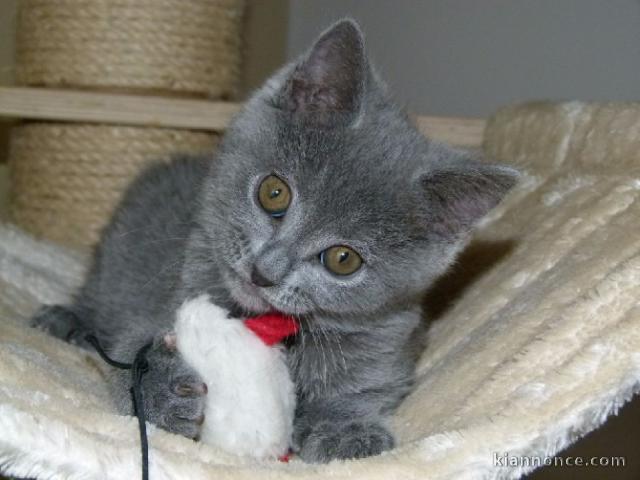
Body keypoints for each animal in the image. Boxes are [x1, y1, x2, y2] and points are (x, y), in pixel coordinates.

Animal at [32, 20, 516, 464]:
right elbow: (130, 350)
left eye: (343, 259)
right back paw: (67, 321)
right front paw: (160, 390)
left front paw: (345, 430)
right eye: (274, 192)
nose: (265, 271)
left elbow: (370, 384)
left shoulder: (391, 339)